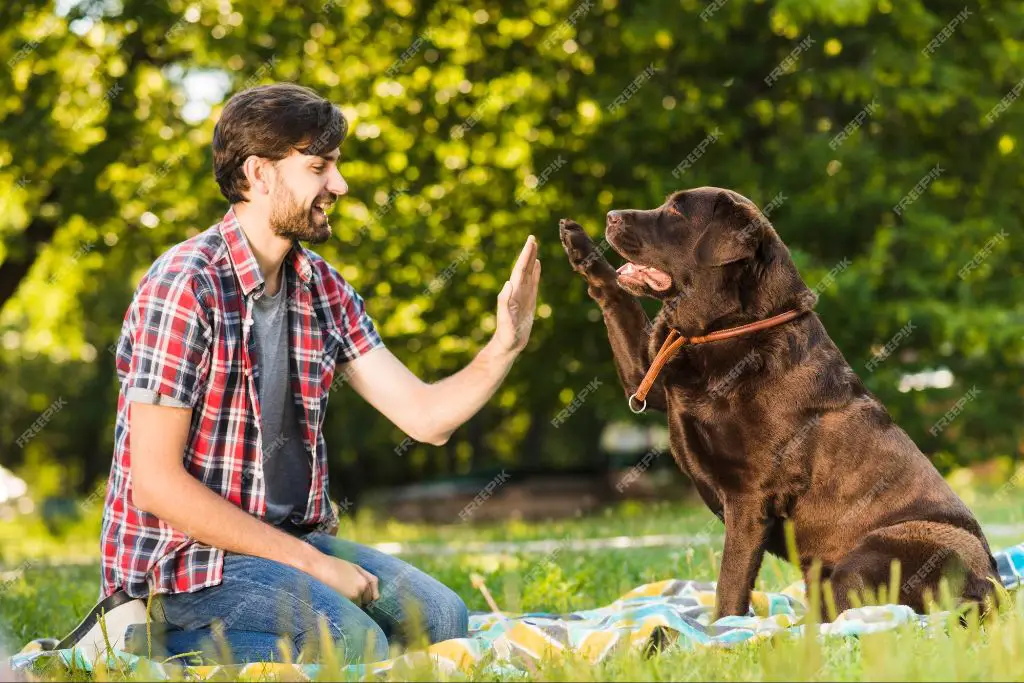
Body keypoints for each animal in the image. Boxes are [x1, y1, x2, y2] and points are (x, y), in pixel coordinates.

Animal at [561, 185, 999, 618]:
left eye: (677, 212)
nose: (611, 215)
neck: (730, 329)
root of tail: (992, 592)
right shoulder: (648, 376)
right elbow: (619, 301)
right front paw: (580, 245)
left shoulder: (750, 497)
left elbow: (729, 586)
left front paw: (720, 630)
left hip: (872, 555)